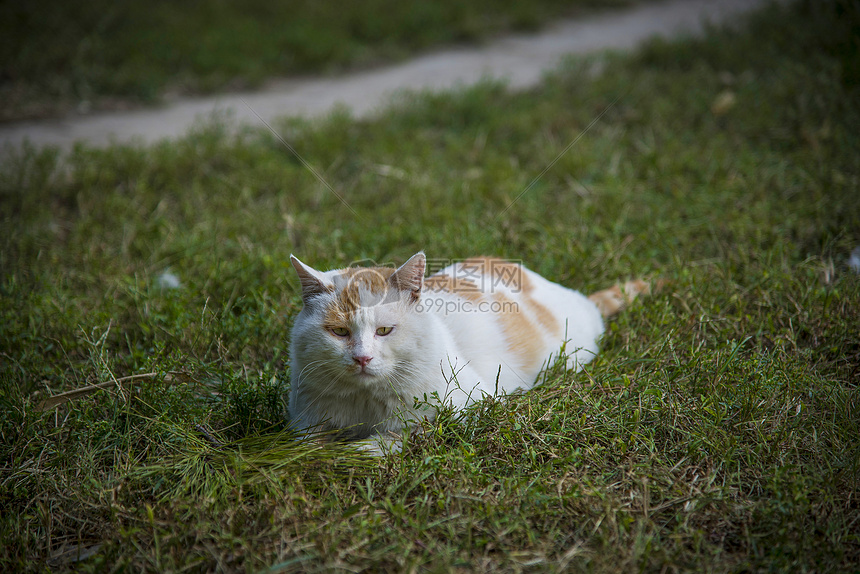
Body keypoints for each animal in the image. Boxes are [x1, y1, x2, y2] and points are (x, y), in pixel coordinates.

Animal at [286, 252, 648, 454]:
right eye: (339, 332)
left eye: (385, 330)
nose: (362, 358)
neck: (366, 398)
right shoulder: (305, 418)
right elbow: (303, 444)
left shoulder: (473, 406)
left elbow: (402, 433)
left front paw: (358, 452)